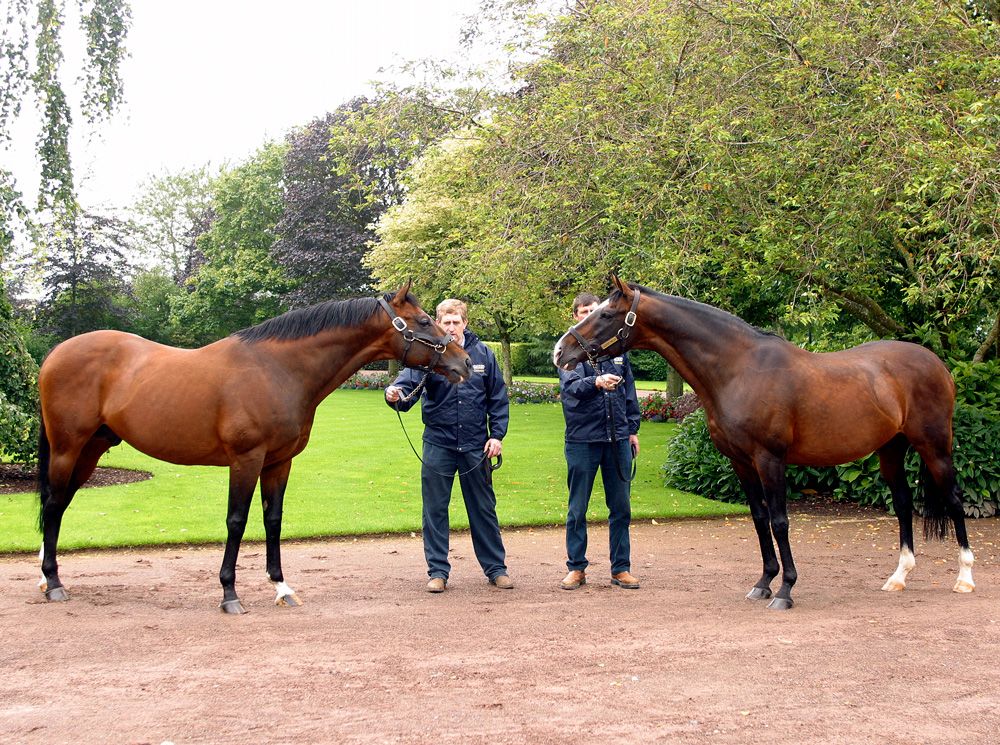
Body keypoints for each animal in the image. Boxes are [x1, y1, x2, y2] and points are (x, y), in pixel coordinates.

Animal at [38, 282, 472, 612]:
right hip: (67, 448)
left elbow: (272, 519)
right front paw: (229, 593)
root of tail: (56, 352)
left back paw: (47, 577)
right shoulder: (245, 459)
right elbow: (237, 521)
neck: (278, 370)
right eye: (424, 321)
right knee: (54, 504)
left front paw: (281, 587)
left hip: (91, 450)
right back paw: (53, 582)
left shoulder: (279, 462)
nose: (465, 362)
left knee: (59, 505)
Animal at [552, 276, 972, 608]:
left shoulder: (771, 459)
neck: (739, 368)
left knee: (954, 500)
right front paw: (763, 583)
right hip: (891, 448)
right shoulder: (741, 462)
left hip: (934, 447)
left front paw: (786, 590)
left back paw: (964, 578)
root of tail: (938, 364)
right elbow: (758, 519)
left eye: (606, 315)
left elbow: (780, 521)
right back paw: (898, 577)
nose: (560, 352)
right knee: (902, 505)